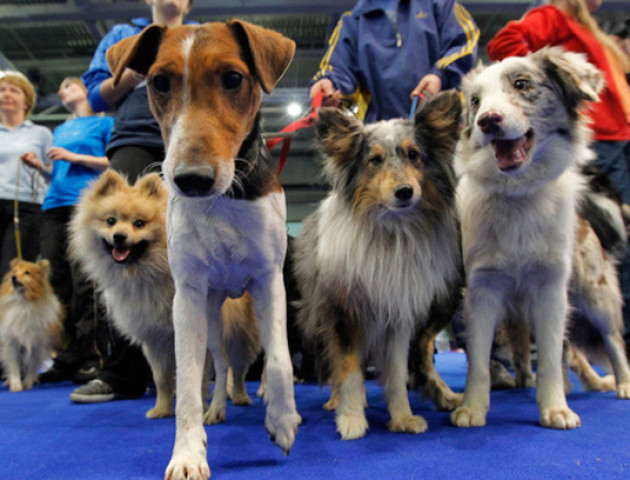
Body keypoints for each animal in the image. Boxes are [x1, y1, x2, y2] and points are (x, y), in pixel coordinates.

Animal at [107, 19, 300, 480]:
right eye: (159, 82)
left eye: (233, 78)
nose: (191, 179)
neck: (224, 197)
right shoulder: (189, 296)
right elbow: (189, 380)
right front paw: (188, 453)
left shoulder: (269, 279)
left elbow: (280, 361)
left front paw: (283, 420)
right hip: (213, 313)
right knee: (222, 362)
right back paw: (217, 409)